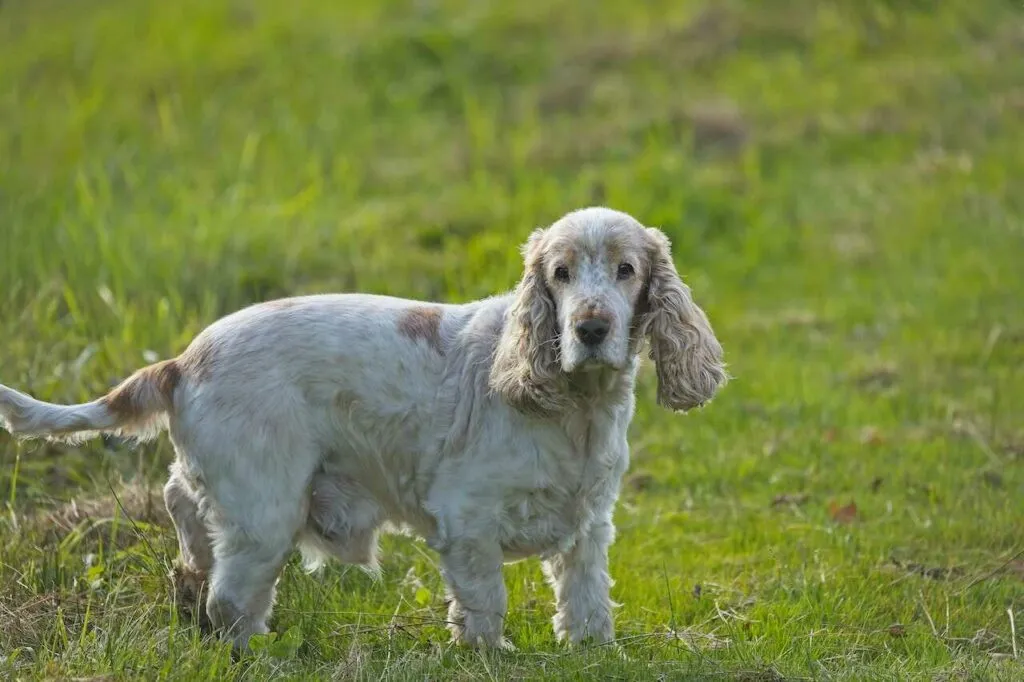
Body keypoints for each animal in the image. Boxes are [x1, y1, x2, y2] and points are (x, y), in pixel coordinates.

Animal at [0, 205, 729, 647]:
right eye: (561, 273)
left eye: (626, 271)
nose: (591, 328)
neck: (577, 407)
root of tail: (181, 362)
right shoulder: (468, 521)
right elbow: (484, 605)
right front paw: (490, 653)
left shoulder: (589, 523)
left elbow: (586, 600)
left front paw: (591, 649)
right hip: (265, 515)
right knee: (231, 602)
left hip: (214, 502)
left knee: (191, 559)